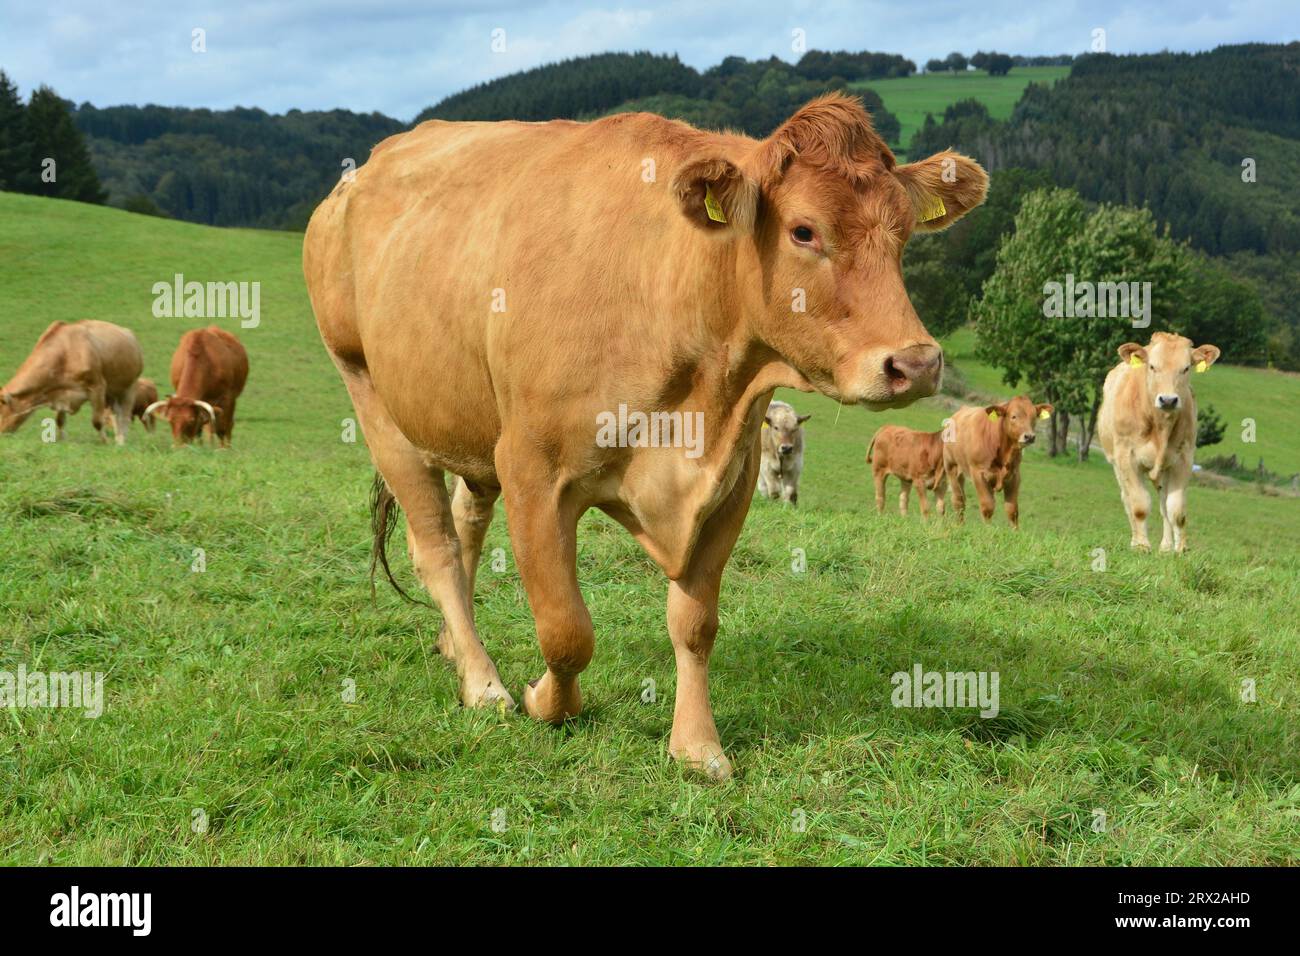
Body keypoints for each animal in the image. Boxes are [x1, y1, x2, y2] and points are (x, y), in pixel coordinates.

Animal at [0, 320, 143, 444]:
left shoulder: (97, 386)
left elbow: (97, 421)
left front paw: (105, 442)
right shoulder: (60, 394)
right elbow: (59, 420)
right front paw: (63, 441)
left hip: (129, 387)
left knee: (124, 415)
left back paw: (121, 441)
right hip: (111, 393)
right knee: (115, 414)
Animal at [302, 92, 989, 779]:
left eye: (904, 232)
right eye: (803, 230)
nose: (916, 363)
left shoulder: (732, 481)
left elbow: (695, 622)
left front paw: (697, 745)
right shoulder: (533, 468)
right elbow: (566, 629)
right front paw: (545, 701)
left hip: (469, 420)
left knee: (466, 519)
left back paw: (454, 643)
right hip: (372, 396)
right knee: (436, 546)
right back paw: (482, 682)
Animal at [942, 396, 1052, 528]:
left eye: (1034, 416)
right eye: (1014, 416)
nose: (1029, 436)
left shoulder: (1014, 475)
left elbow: (1012, 510)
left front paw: (1015, 531)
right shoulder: (978, 473)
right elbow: (987, 506)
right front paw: (988, 529)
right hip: (951, 466)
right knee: (958, 500)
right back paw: (960, 525)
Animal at [1097, 333, 1220, 553]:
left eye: (1186, 368)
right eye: (1152, 366)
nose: (1168, 400)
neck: (1160, 426)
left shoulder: (1183, 458)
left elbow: (1176, 510)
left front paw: (1180, 549)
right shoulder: (1126, 457)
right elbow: (1138, 505)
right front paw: (1141, 545)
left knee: (1164, 505)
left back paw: (1166, 546)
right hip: (1117, 465)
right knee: (1127, 499)